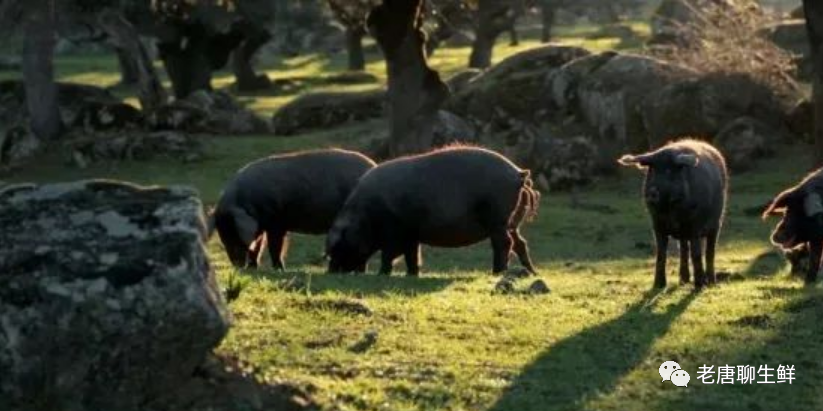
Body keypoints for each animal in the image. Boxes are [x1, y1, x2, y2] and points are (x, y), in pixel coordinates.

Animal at [208, 149, 376, 269]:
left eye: (235, 233)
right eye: (223, 236)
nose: (237, 265)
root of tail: (373, 165)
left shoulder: (276, 224)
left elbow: (275, 246)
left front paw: (279, 269)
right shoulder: (261, 226)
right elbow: (258, 246)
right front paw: (253, 267)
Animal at [326, 145, 540, 276]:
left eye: (339, 246)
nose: (331, 272)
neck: (365, 216)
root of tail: (518, 173)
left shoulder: (393, 234)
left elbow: (389, 256)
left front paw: (382, 274)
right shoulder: (411, 235)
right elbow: (412, 255)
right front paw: (412, 275)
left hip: (497, 218)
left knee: (505, 243)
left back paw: (497, 273)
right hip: (511, 221)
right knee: (520, 242)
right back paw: (531, 272)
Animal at [619, 139, 728, 289]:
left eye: (669, 171)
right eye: (652, 171)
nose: (652, 193)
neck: (670, 210)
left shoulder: (695, 225)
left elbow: (696, 253)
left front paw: (699, 286)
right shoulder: (657, 225)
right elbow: (661, 253)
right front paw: (658, 286)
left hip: (717, 223)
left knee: (709, 251)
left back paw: (710, 283)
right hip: (683, 234)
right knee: (683, 249)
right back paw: (683, 281)